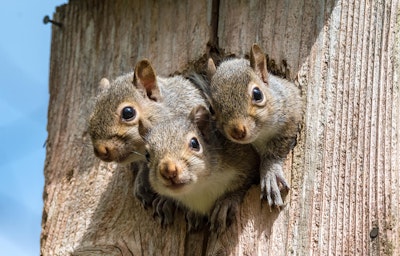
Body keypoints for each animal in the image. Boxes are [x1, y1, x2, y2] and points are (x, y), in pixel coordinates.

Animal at [141, 105, 260, 233]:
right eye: (147, 155)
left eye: (195, 143)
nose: (168, 171)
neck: (200, 188)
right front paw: (169, 203)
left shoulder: (245, 159)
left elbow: (244, 184)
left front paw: (226, 203)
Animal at [206, 43, 304, 208]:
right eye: (211, 109)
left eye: (257, 94)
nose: (237, 131)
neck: (260, 135)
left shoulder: (292, 110)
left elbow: (277, 148)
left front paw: (270, 173)